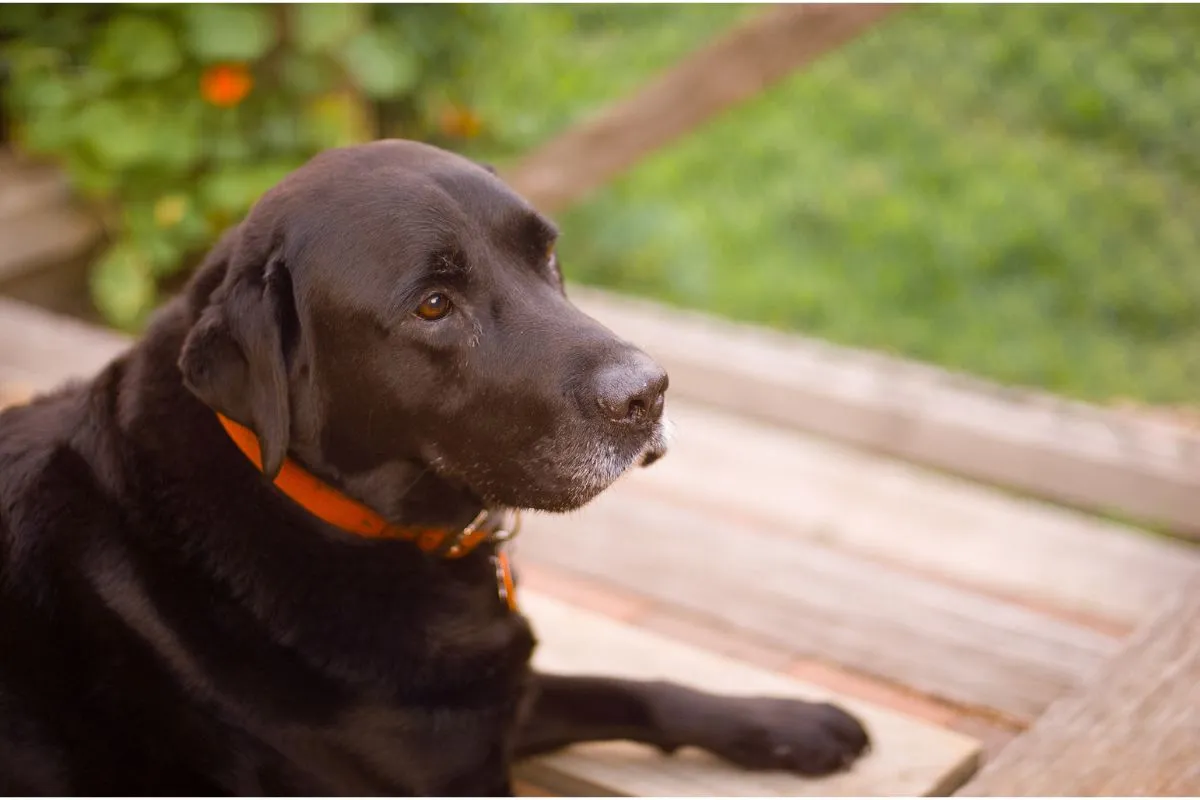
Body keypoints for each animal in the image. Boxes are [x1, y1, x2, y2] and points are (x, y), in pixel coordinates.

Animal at [0, 139, 868, 796]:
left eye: (547, 254)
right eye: (433, 306)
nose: (648, 393)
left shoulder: (489, 704)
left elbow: (638, 690)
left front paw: (792, 724)